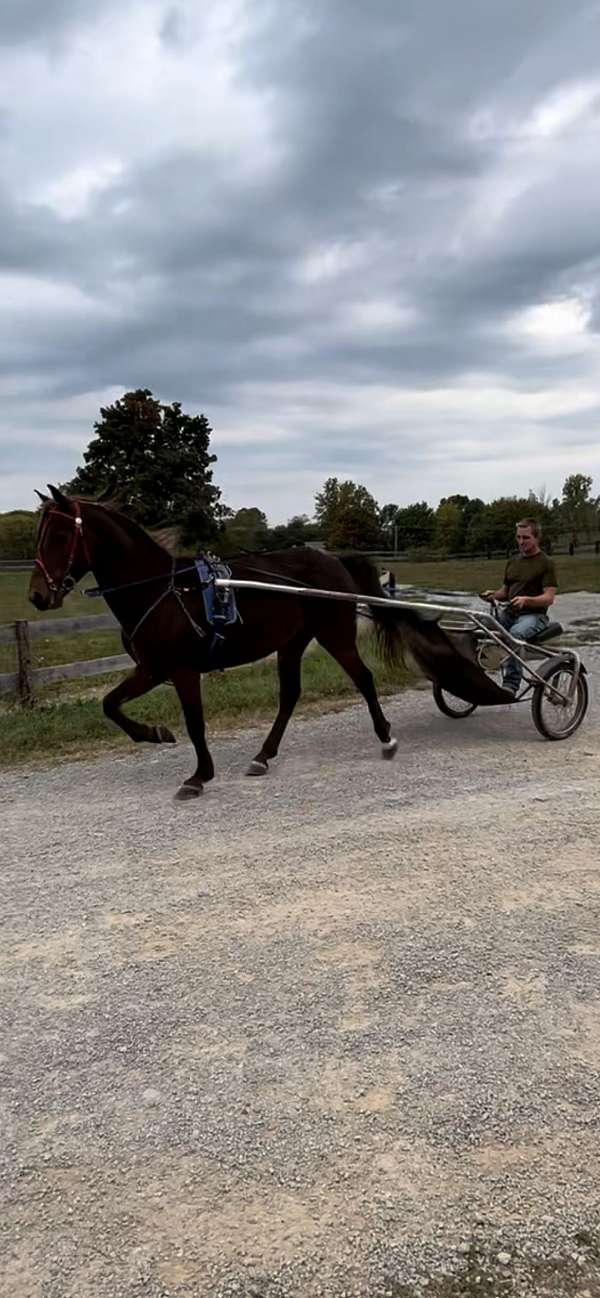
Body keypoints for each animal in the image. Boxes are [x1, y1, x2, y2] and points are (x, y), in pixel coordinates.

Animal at [28, 485, 493, 794]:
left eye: (60, 536)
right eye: (40, 535)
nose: (37, 596)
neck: (166, 590)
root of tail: (331, 560)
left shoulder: (179, 669)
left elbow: (193, 722)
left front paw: (197, 775)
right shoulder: (153, 668)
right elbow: (110, 704)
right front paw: (156, 734)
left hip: (334, 635)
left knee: (363, 679)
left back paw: (386, 738)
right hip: (292, 642)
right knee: (290, 696)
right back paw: (262, 756)